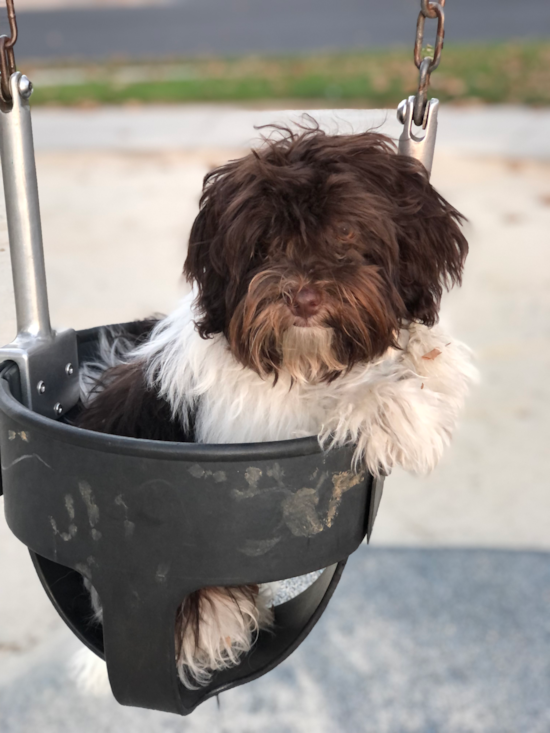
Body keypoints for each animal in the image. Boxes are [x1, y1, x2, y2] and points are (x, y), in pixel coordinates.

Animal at [77, 124, 478, 688]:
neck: (305, 357)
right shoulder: (249, 432)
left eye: (347, 232)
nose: (303, 297)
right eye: (264, 243)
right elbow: (323, 403)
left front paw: (425, 353)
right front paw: (395, 405)